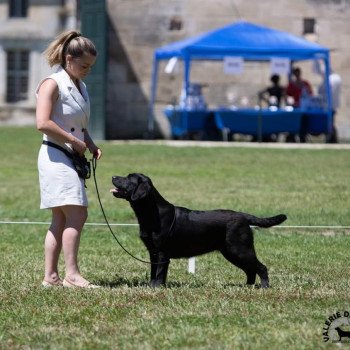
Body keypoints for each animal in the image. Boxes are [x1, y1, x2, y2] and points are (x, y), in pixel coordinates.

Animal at [110, 174, 286, 288]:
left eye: (128, 178)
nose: (113, 176)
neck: (152, 212)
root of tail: (243, 216)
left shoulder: (161, 252)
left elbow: (159, 272)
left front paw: (156, 287)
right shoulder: (152, 251)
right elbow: (154, 271)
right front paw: (151, 286)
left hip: (240, 249)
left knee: (261, 267)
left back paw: (264, 287)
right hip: (232, 252)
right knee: (250, 270)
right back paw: (248, 286)